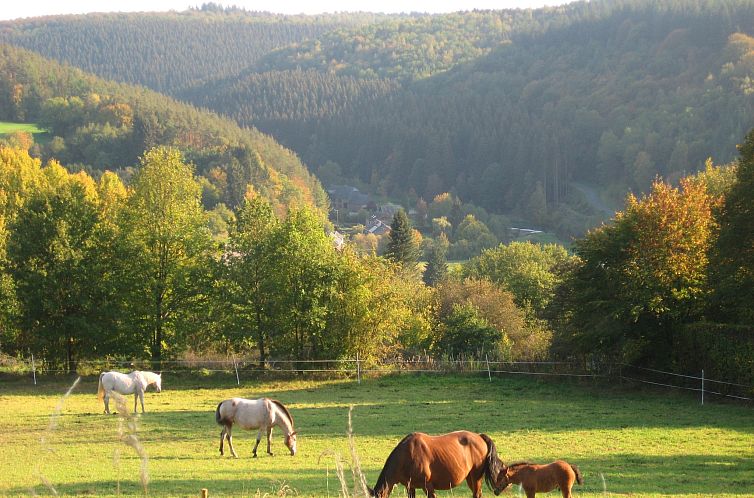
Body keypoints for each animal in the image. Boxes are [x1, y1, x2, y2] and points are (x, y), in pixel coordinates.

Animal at [368, 430, 508, 496]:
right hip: (470, 478)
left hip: (475, 477)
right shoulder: (410, 487)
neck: (408, 455)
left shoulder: (427, 487)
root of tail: (479, 436)